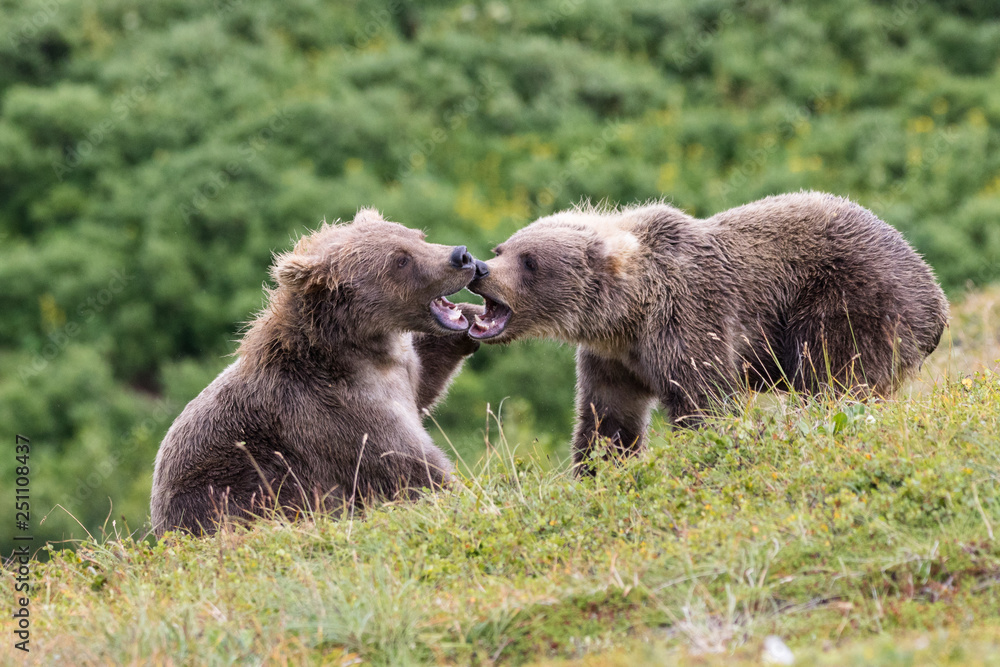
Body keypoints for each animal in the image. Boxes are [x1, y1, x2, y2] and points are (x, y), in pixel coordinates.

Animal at [150, 209, 483, 536]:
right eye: (400, 260)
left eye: (418, 236)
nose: (462, 256)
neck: (360, 352)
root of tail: (161, 530)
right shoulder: (340, 416)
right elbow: (413, 469)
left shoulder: (400, 374)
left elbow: (425, 376)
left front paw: (476, 318)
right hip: (235, 491)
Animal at [465, 192, 949, 471]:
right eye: (502, 248)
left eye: (530, 261)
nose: (481, 269)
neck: (628, 315)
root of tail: (937, 298)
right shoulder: (613, 359)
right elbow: (608, 419)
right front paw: (597, 470)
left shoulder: (691, 320)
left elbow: (706, 403)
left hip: (852, 300)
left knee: (837, 377)